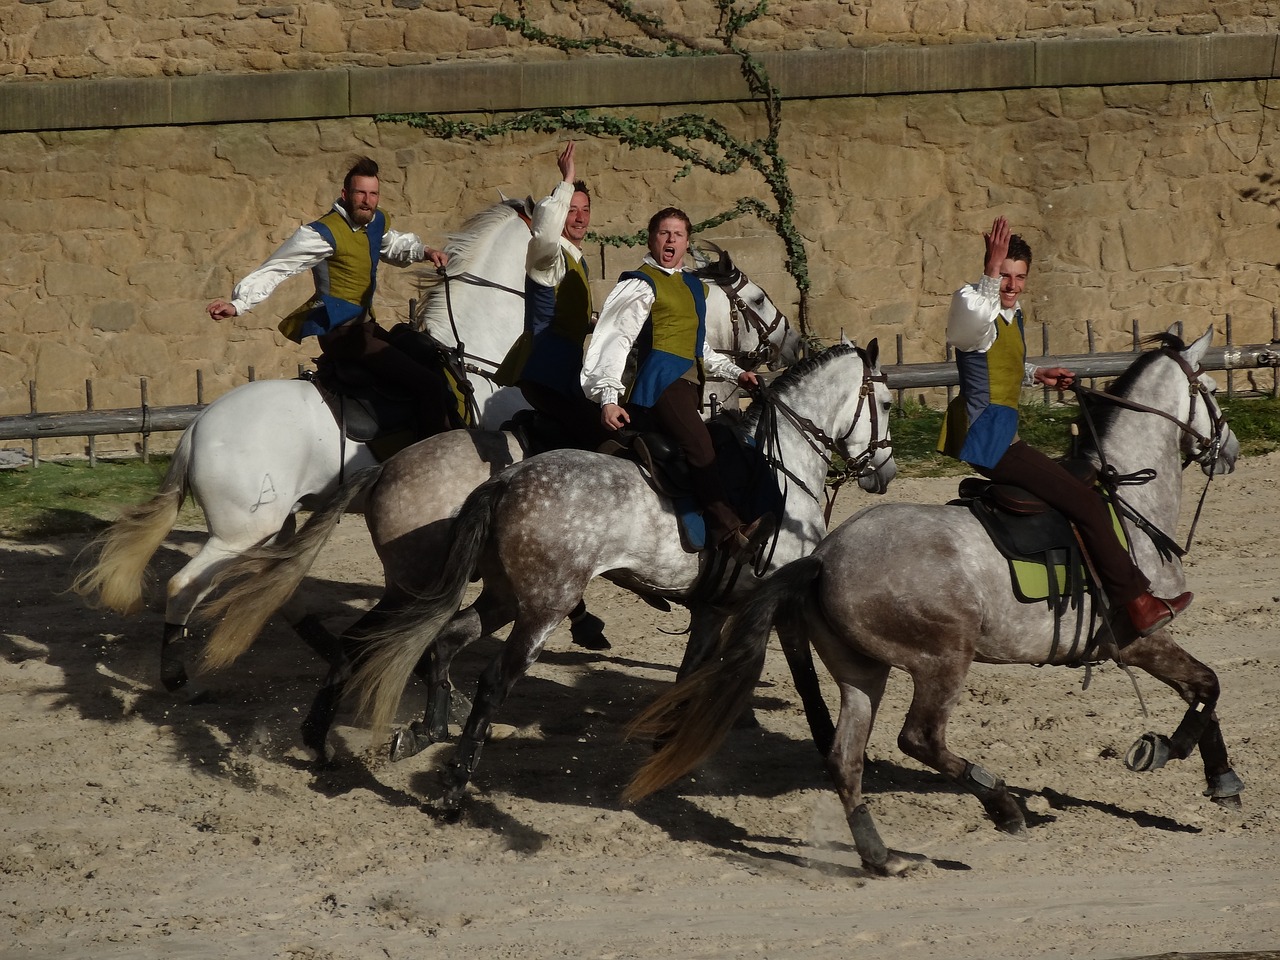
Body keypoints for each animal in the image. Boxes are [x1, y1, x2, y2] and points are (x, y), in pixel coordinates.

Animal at [72, 197, 798, 701]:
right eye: (759, 298)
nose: (791, 343)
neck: (486, 360)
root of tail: (198, 427)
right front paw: (587, 618)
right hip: (238, 530)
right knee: (184, 586)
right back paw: (177, 672)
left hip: (273, 525)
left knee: (277, 590)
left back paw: (334, 653)